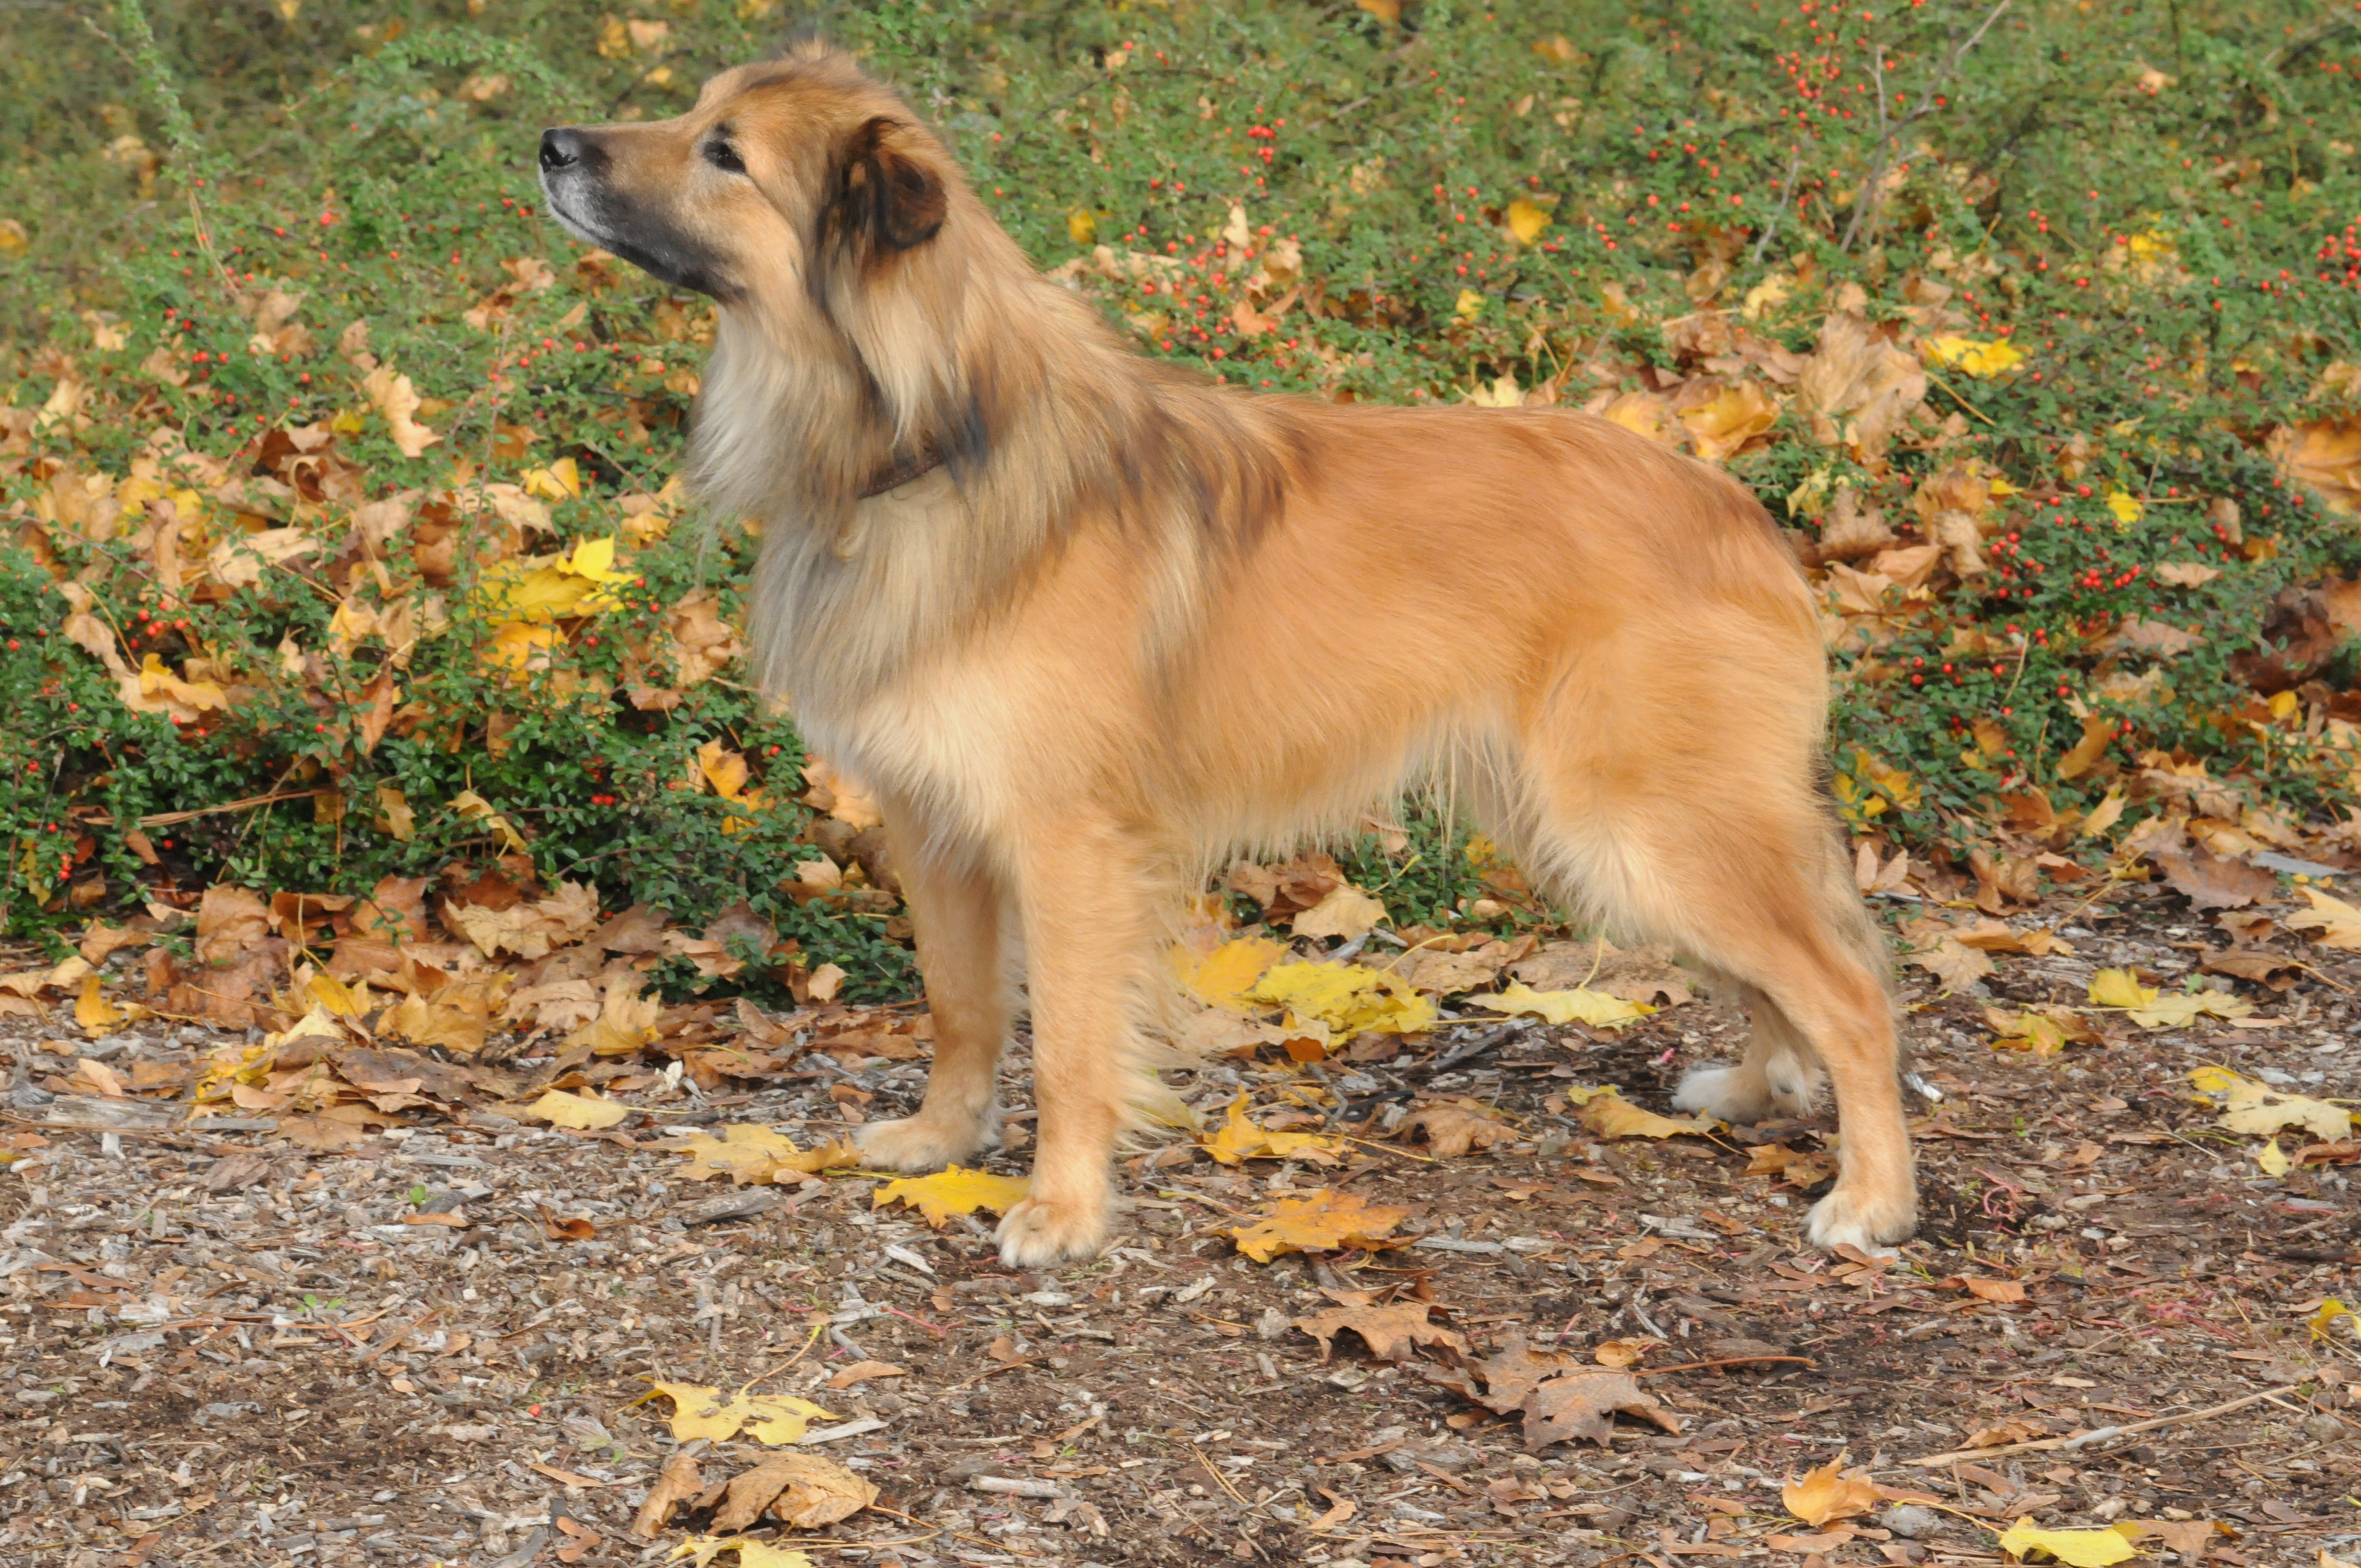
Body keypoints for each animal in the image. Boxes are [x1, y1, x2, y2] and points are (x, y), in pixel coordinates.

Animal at [540, 42, 1917, 1265]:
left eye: (724, 153)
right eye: (697, 111)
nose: (551, 145)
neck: (931, 434)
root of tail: (1737, 511)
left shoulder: (1065, 841)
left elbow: (1068, 1040)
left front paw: (1062, 1209)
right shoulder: (933, 822)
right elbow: (961, 1003)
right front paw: (939, 1139)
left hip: (1638, 830)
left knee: (1849, 991)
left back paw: (1870, 1197)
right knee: (1785, 977)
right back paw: (1755, 1087)